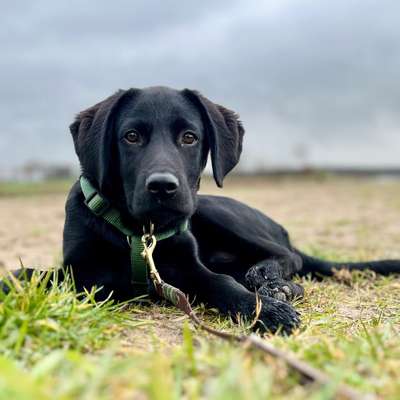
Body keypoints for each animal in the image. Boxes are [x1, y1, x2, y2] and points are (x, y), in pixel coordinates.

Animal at [3, 87, 400, 334]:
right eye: (131, 137)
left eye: (189, 138)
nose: (163, 187)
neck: (139, 232)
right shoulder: (80, 271)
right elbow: (34, 275)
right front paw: (13, 280)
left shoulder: (189, 267)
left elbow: (220, 283)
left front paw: (263, 310)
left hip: (215, 212)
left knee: (288, 256)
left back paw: (270, 282)